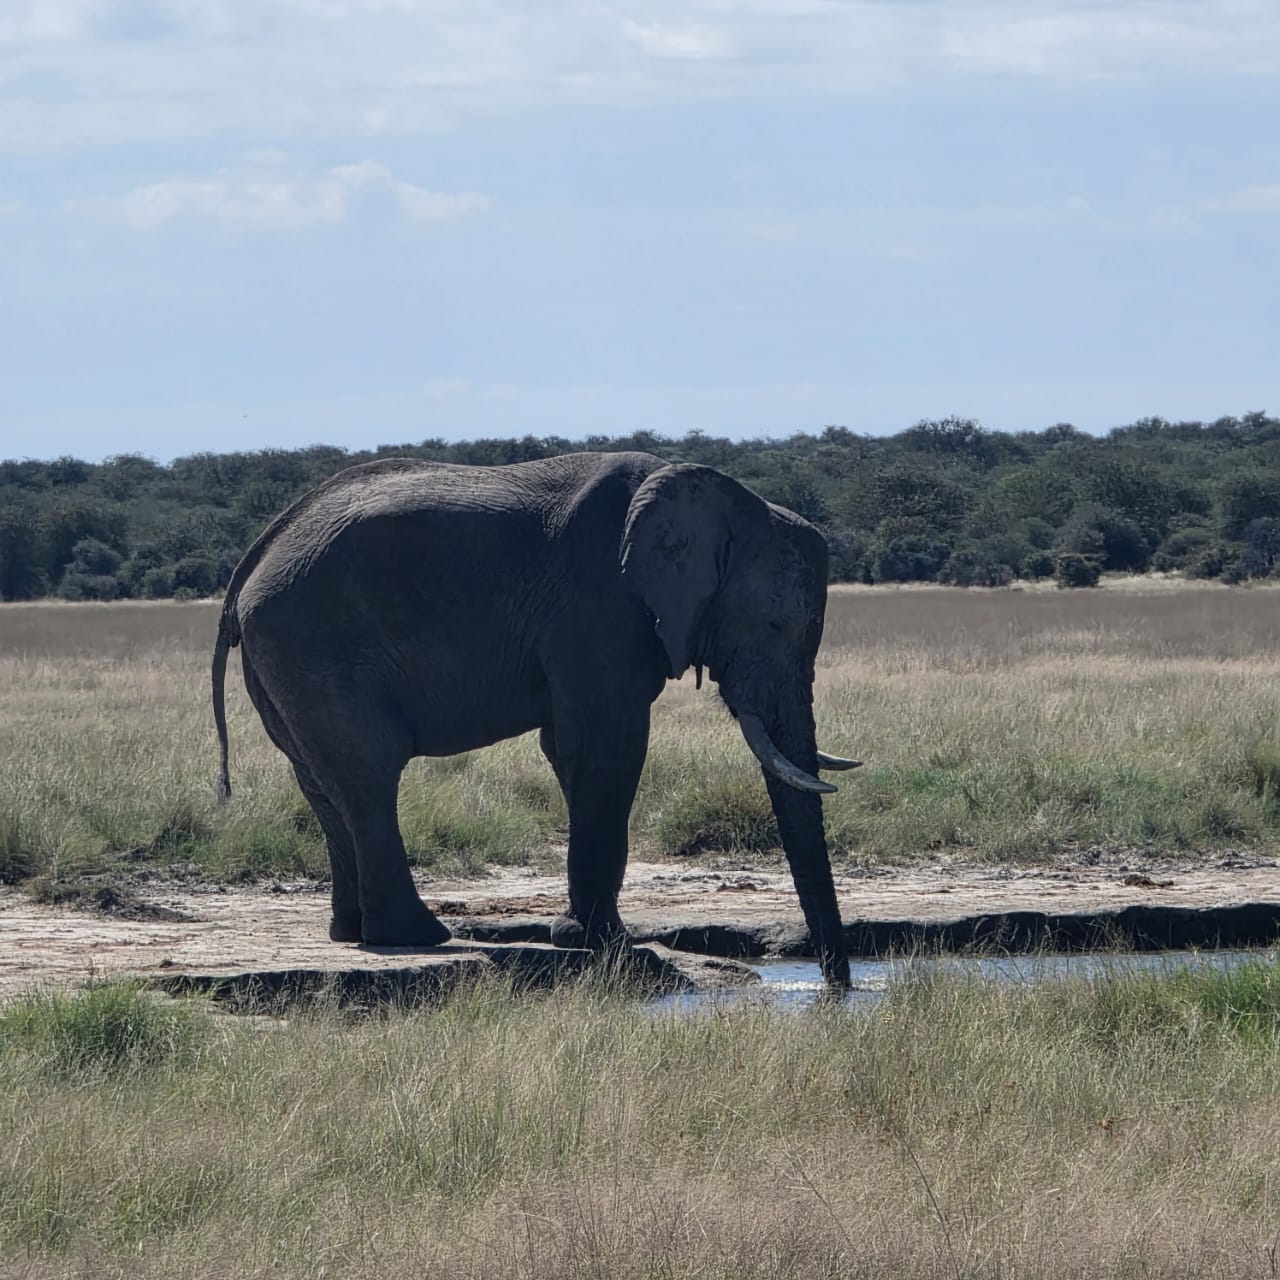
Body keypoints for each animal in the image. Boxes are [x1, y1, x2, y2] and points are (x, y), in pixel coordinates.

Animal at [211, 452, 859, 986]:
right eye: (774, 625)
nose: (836, 988)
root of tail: (250, 564)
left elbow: (568, 749)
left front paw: (583, 935)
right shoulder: (598, 605)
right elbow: (605, 744)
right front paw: (604, 943)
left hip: (284, 661)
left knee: (323, 786)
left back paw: (353, 933)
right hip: (314, 645)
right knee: (368, 773)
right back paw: (417, 936)